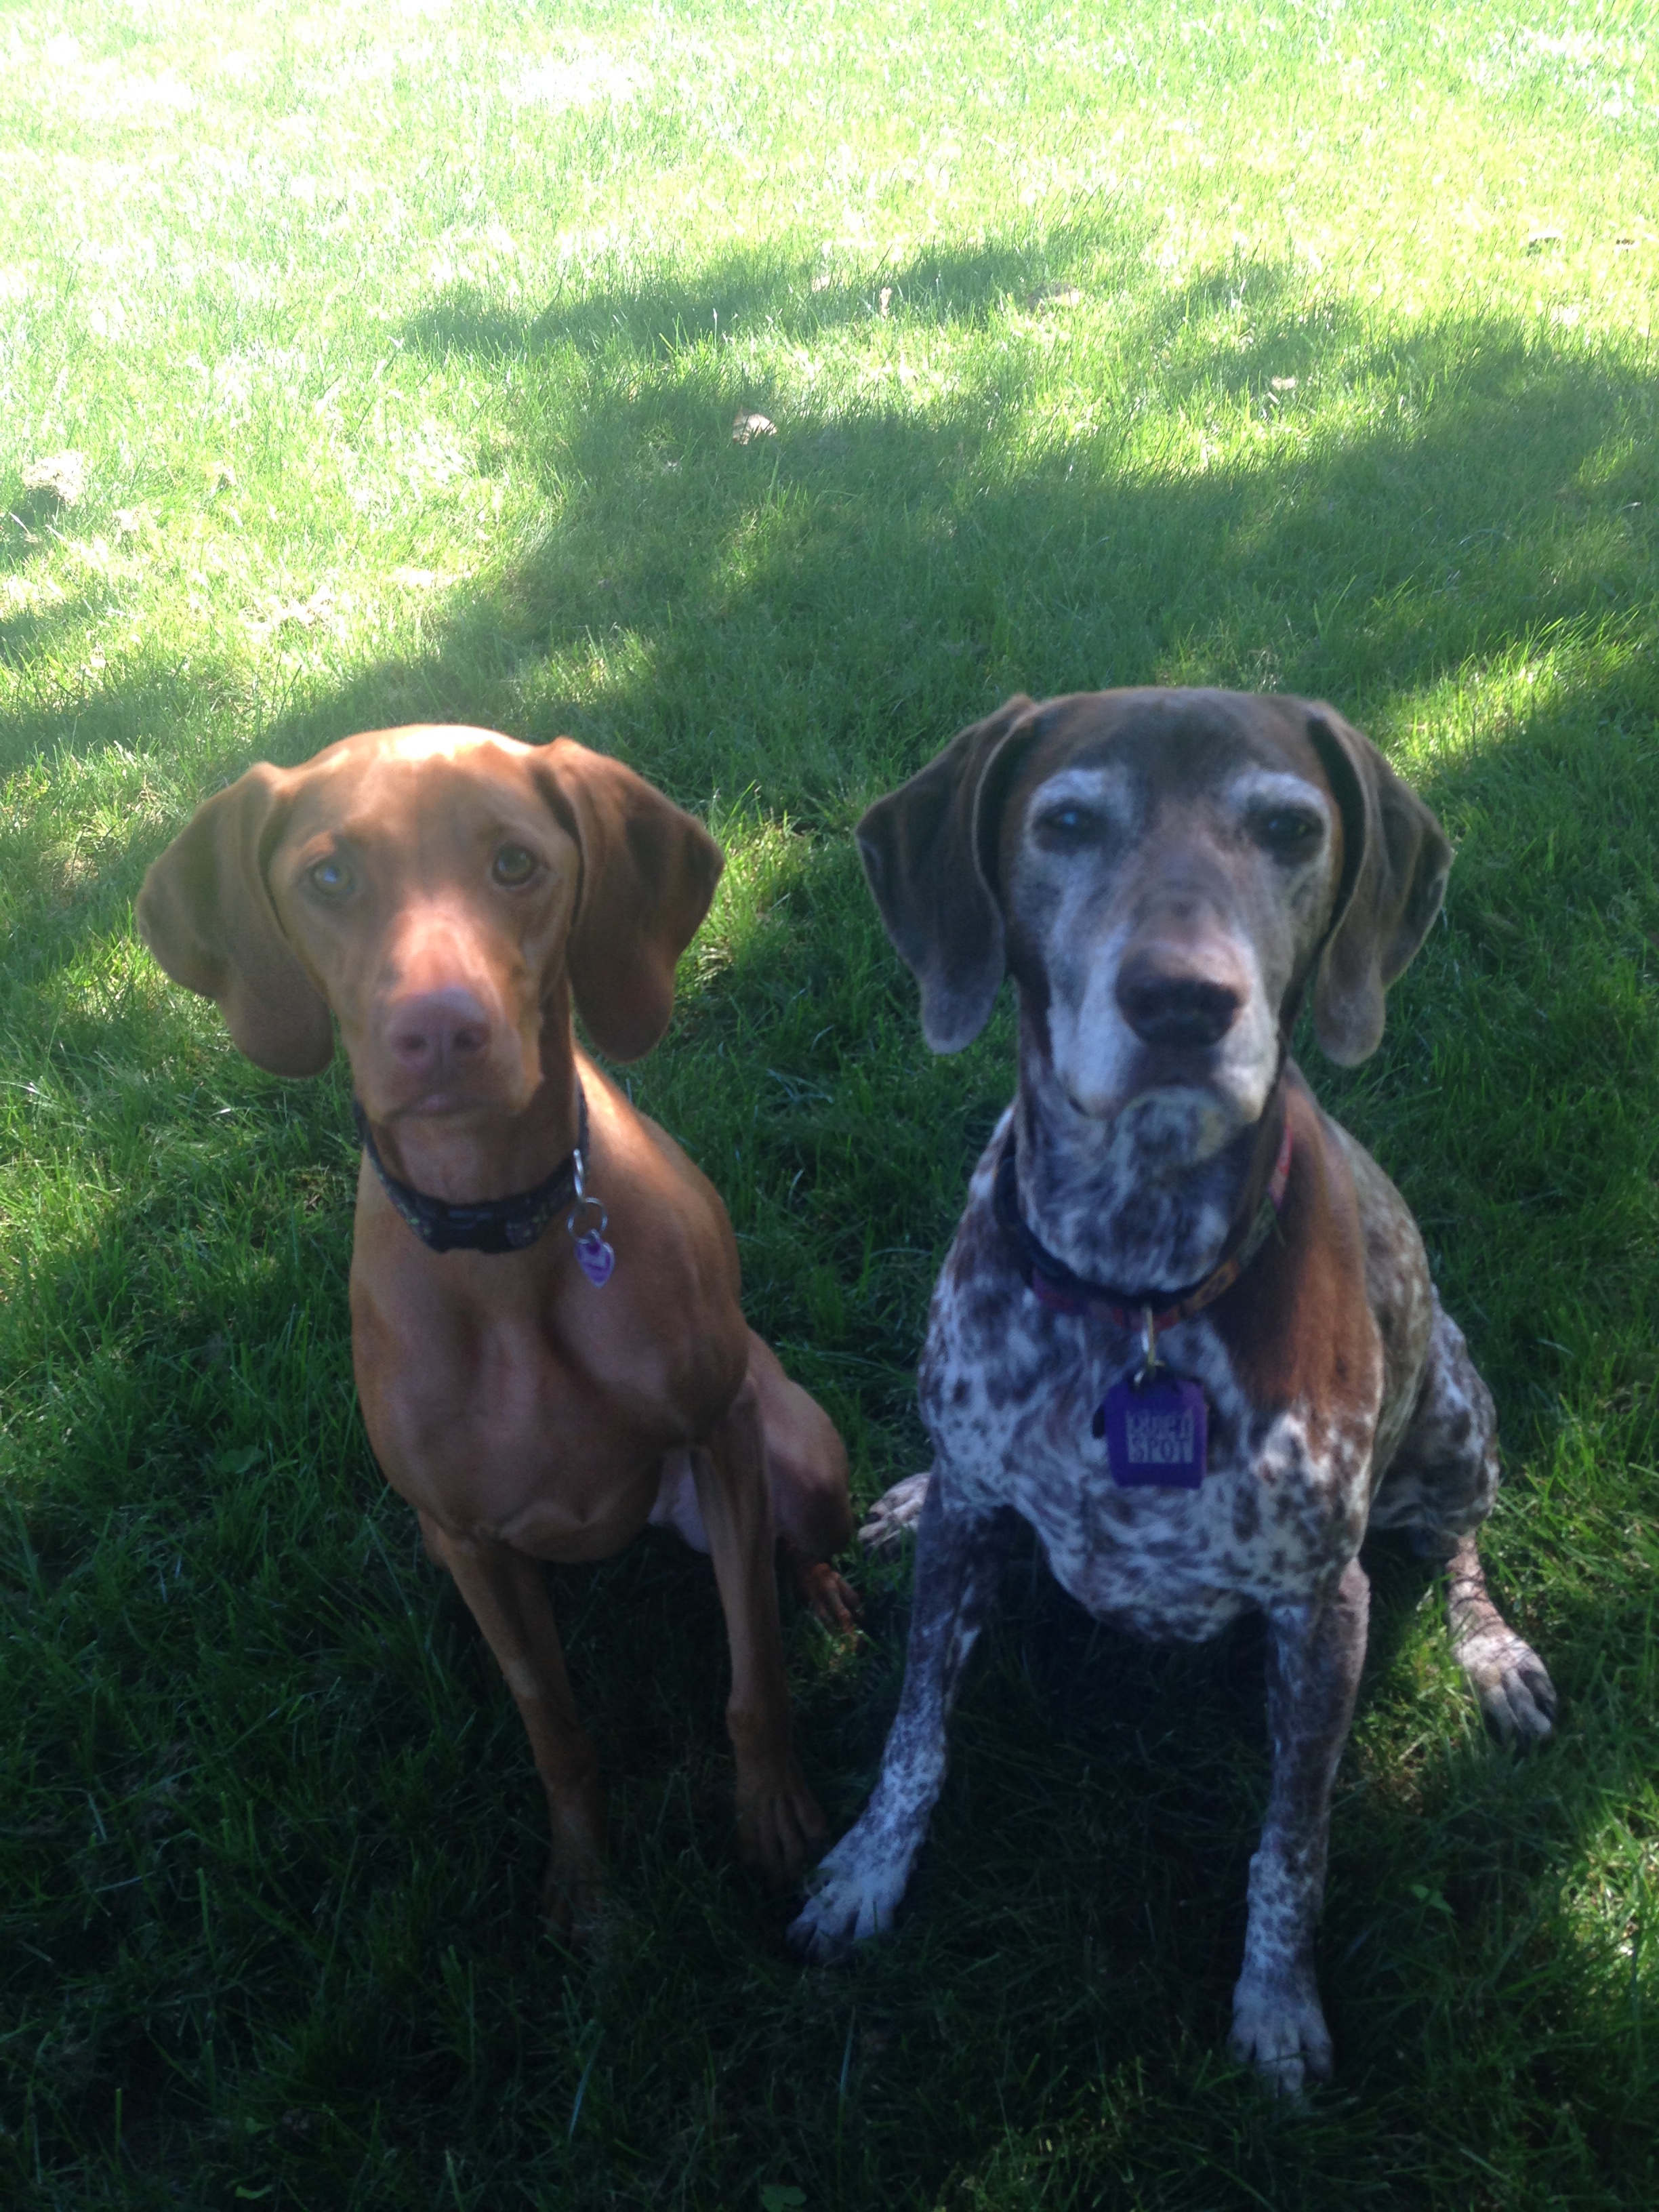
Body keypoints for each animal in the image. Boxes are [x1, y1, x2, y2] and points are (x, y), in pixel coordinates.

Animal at [138, 724, 857, 1918]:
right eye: (329, 877)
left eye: (516, 864)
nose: (439, 1030)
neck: (503, 1240)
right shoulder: (470, 1538)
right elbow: (554, 1725)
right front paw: (587, 1885)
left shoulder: (720, 1434)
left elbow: (752, 1670)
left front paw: (775, 1816)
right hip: (446, 1549)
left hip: (800, 1454)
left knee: (782, 1557)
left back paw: (827, 1599)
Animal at [789, 688, 1555, 2090]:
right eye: (1065, 822)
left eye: (1289, 827)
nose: (1182, 1000)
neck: (1135, 1283)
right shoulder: (968, 1535)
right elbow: (914, 1734)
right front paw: (868, 1869)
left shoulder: (1321, 1608)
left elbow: (1291, 1843)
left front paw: (1275, 1998)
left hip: (1458, 1415)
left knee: (1456, 1544)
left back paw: (1492, 1651)